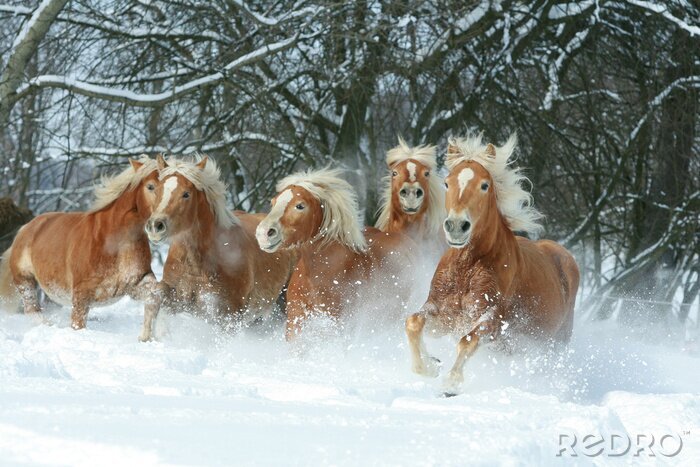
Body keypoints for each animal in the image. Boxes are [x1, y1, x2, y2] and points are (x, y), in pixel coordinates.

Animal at [0, 157, 162, 340]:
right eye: (150, 186)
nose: (159, 225)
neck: (116, 243)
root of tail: (25, 228)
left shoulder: (135, 283)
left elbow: (154, 297)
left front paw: (145, 338)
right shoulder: (81, 294)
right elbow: (78, 324)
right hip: (25, 280)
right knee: (32, 310)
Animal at [141, 155, 296, 339]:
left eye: (186, 194)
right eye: (156, 190)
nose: (155, 226)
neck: (196, 265)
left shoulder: (228, 314)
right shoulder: (178, 297)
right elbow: (156, 297)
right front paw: (148, 335)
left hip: (283, 300)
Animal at [405, 134, 579, 394]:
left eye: (484, 185)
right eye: (446, 183)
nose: (456, 226)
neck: (467, 267)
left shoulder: (491, 320)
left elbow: (467, 341)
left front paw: (451, 383)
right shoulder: (443, 315)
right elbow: (414, 322)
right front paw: (429, 365)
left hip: (555, 342)